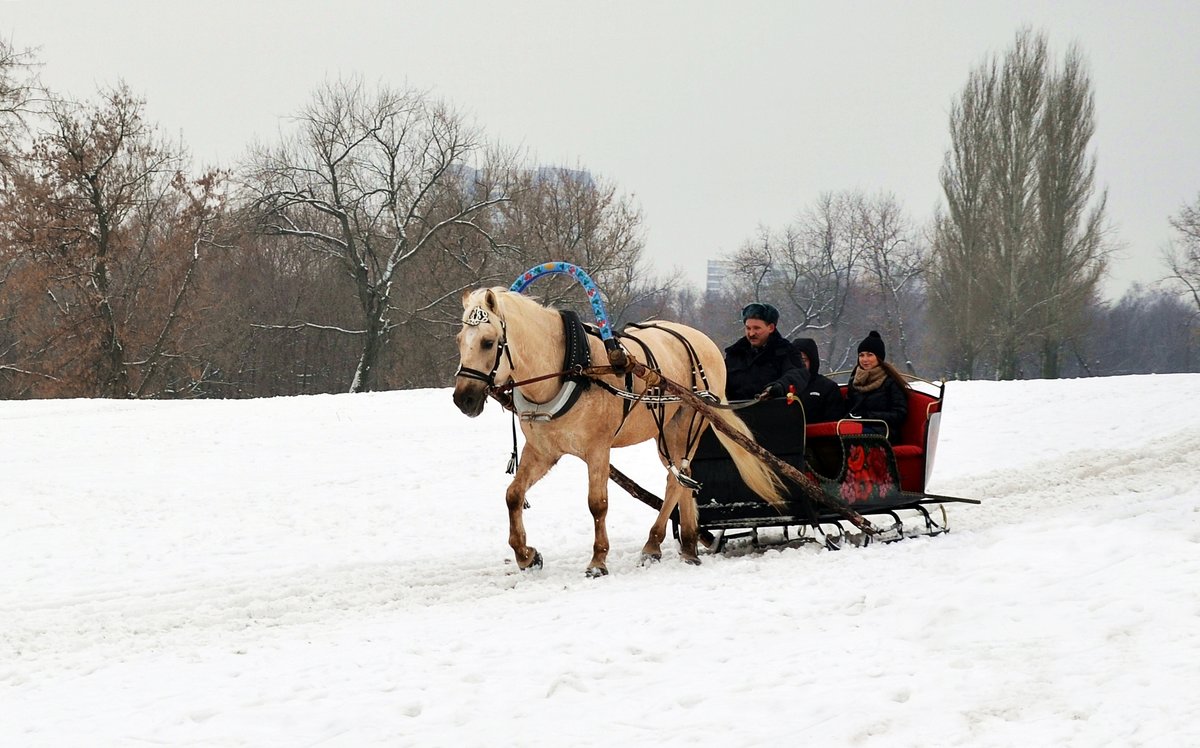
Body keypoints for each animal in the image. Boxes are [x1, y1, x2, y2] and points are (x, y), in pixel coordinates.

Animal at [451, 285, 787, 573]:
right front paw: (526, 555)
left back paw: (653, 545)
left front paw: (598, 561)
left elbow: (597, 504)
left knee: (674, 482)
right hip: (665, 433)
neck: (571, 367)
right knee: (683, 478)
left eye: (488, 342)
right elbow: (513, 495)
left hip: (689, 422)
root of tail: (705, 342)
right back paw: (690, 545)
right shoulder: (543, 450)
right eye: (459, 340)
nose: (463, 399)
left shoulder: (598, 449)